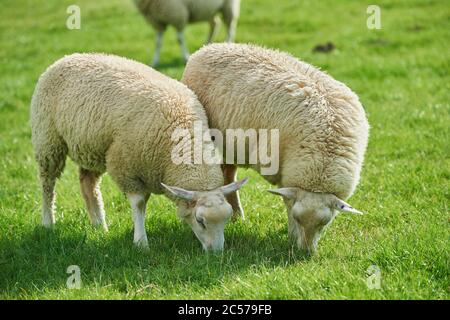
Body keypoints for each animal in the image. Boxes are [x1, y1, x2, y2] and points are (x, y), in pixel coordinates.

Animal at [29, 52, 248, 251]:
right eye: (200, 221)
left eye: (228, 218)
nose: (217, 253)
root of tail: (68, 57)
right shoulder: (124, 165)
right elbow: (139, 203)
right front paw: (141, 242)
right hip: (48, 139)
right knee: (48, 183)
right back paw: (48, 222)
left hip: (91, 147)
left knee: (88, 185)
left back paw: (100, 226)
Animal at [181, 42, 370, 254]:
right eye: (296, 218)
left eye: (325, 224)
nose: (305, 252)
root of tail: (210, 47)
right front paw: (292, 236)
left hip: (232, 144)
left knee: (229, 173)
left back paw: (237, 215)